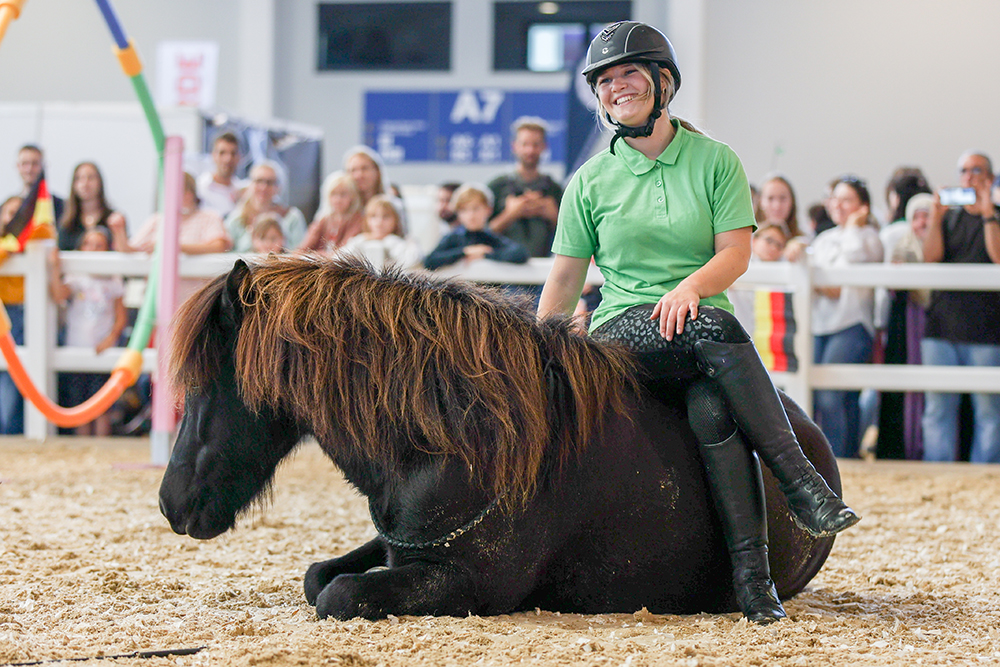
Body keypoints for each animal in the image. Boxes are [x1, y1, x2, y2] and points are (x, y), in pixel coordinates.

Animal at [160, 256, 840, 620]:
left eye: (206, 386)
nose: (171, 503)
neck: (456, 437)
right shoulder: (402, 548)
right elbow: (317, 575)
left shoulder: (467, 583)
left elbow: (338, 593)